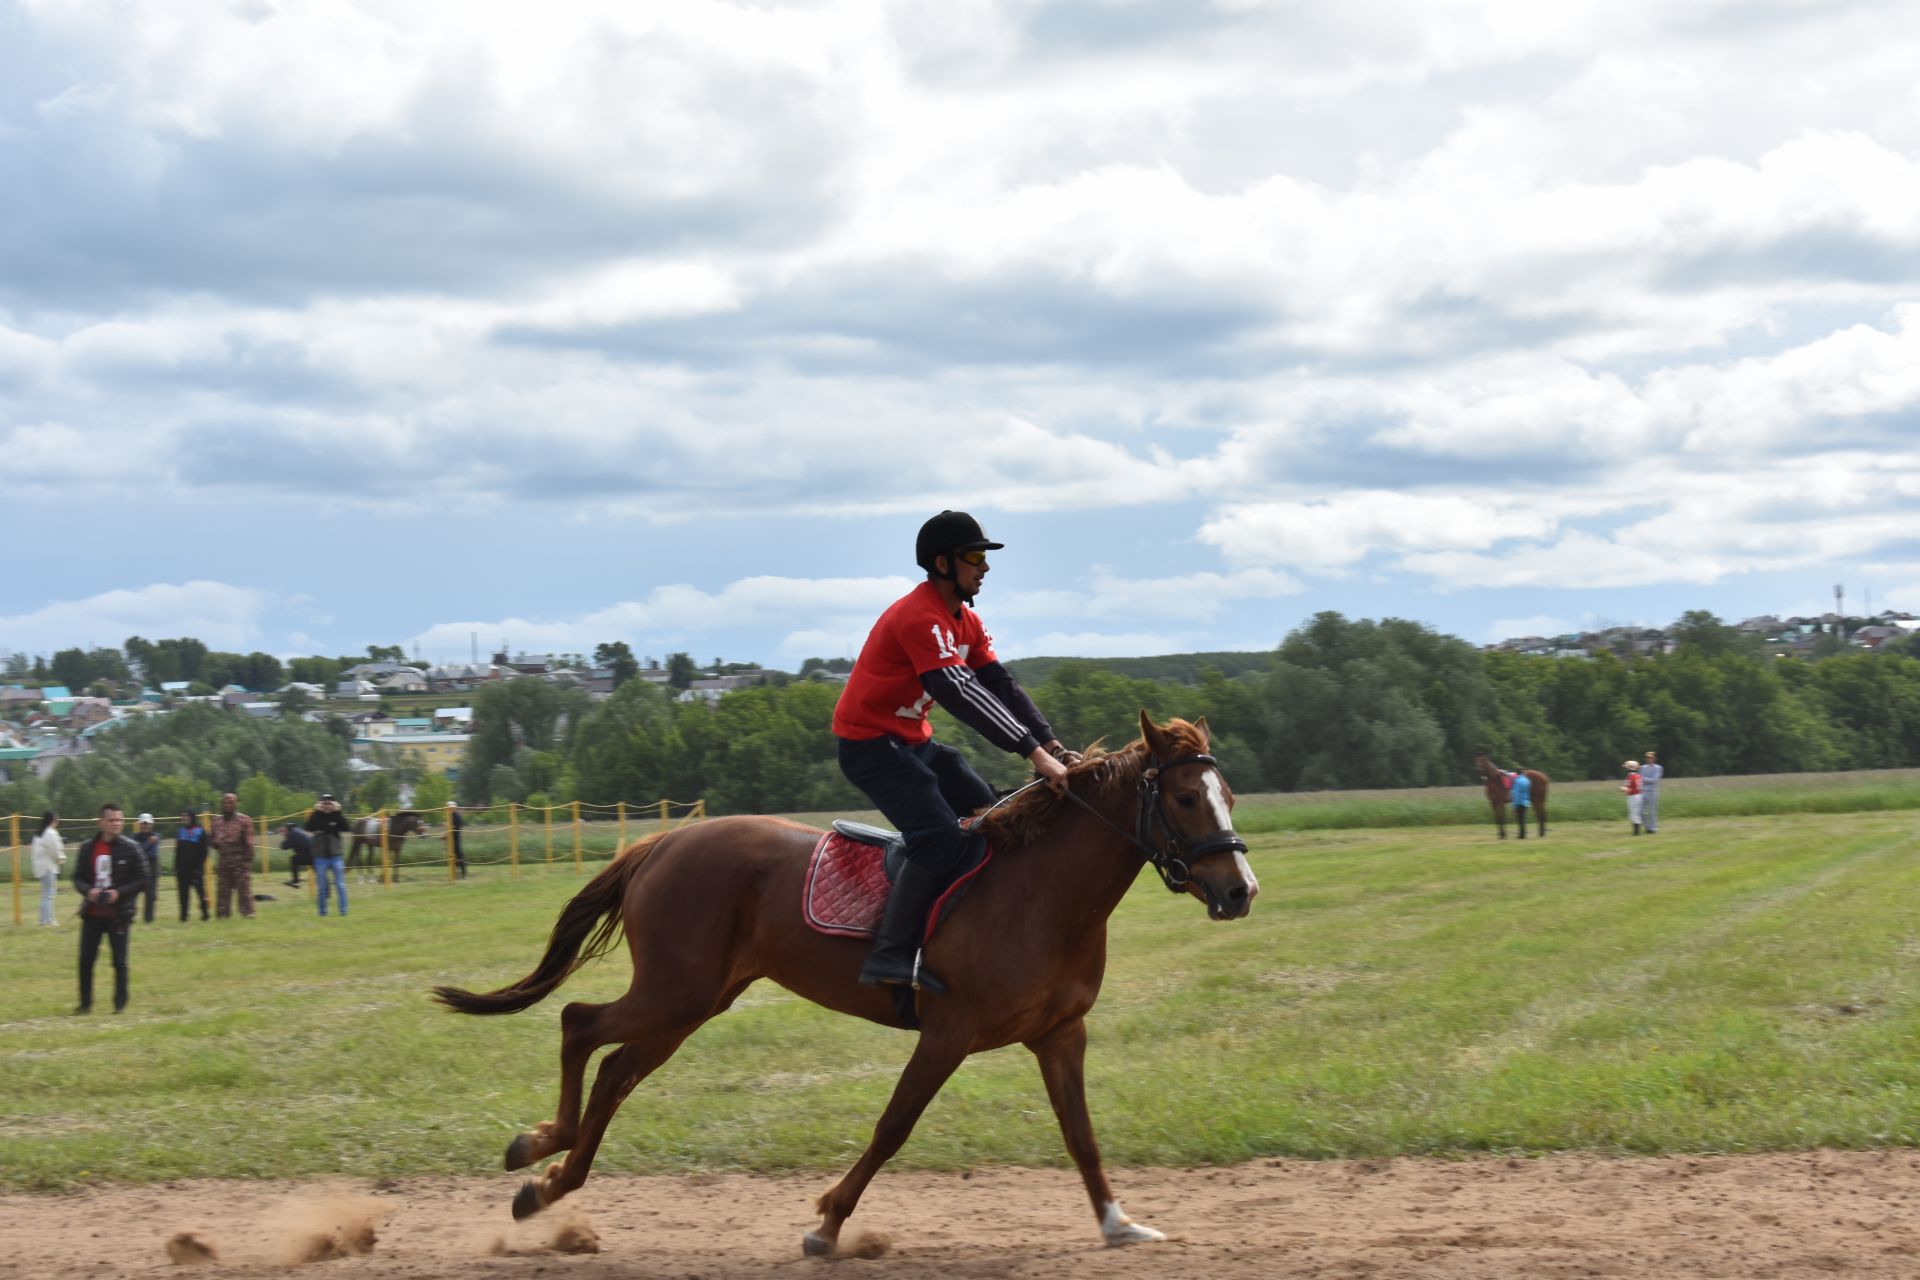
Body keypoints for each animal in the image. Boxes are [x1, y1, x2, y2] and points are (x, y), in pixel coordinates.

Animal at [435, 717, 1259, 1258]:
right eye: (1187, 800)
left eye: (1230, 794)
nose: (1240, 891)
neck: (1042, 892)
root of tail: (662, 841)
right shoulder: (949, 1033)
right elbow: (893, 1127)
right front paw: (828, 1221)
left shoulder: (1061, 1035)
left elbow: (1081, 1134)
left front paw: (1119, 1223)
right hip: (674, 993)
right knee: (578, 1022)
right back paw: (542, 1147)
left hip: (693, 1002)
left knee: (614, 1069)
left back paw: (549, 1184)